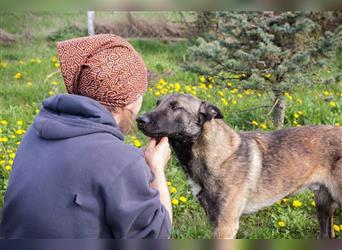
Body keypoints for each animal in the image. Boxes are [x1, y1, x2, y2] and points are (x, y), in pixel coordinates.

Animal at [136, 93, 342, 238]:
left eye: (175, 107)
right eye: (158, 103)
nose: (140, 120)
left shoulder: (226, 226)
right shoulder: (215, 221)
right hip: (323, 206)